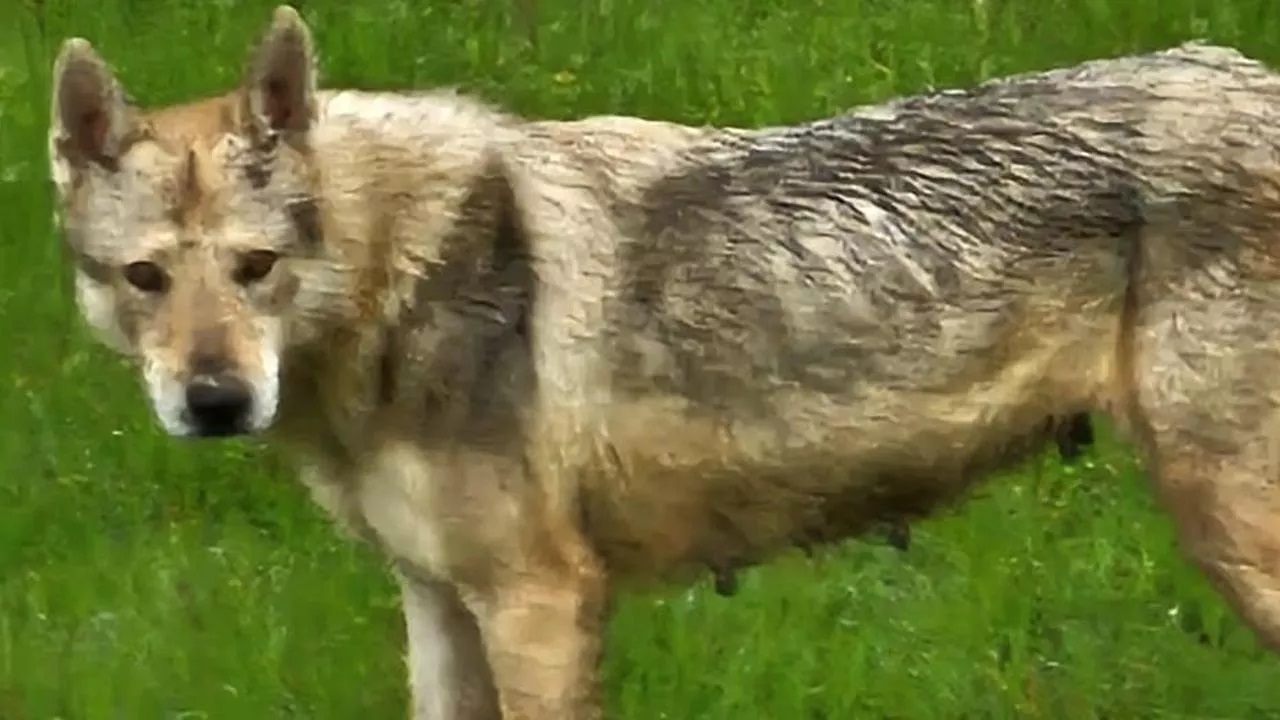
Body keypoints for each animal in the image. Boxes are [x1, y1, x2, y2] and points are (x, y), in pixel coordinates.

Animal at [47, 4, 1280, 712]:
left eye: (255, 268)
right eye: (146, 280)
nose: (213, 400)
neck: (403, 271)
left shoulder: (539, 602)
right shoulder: (438, 604)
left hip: (1229, 529)